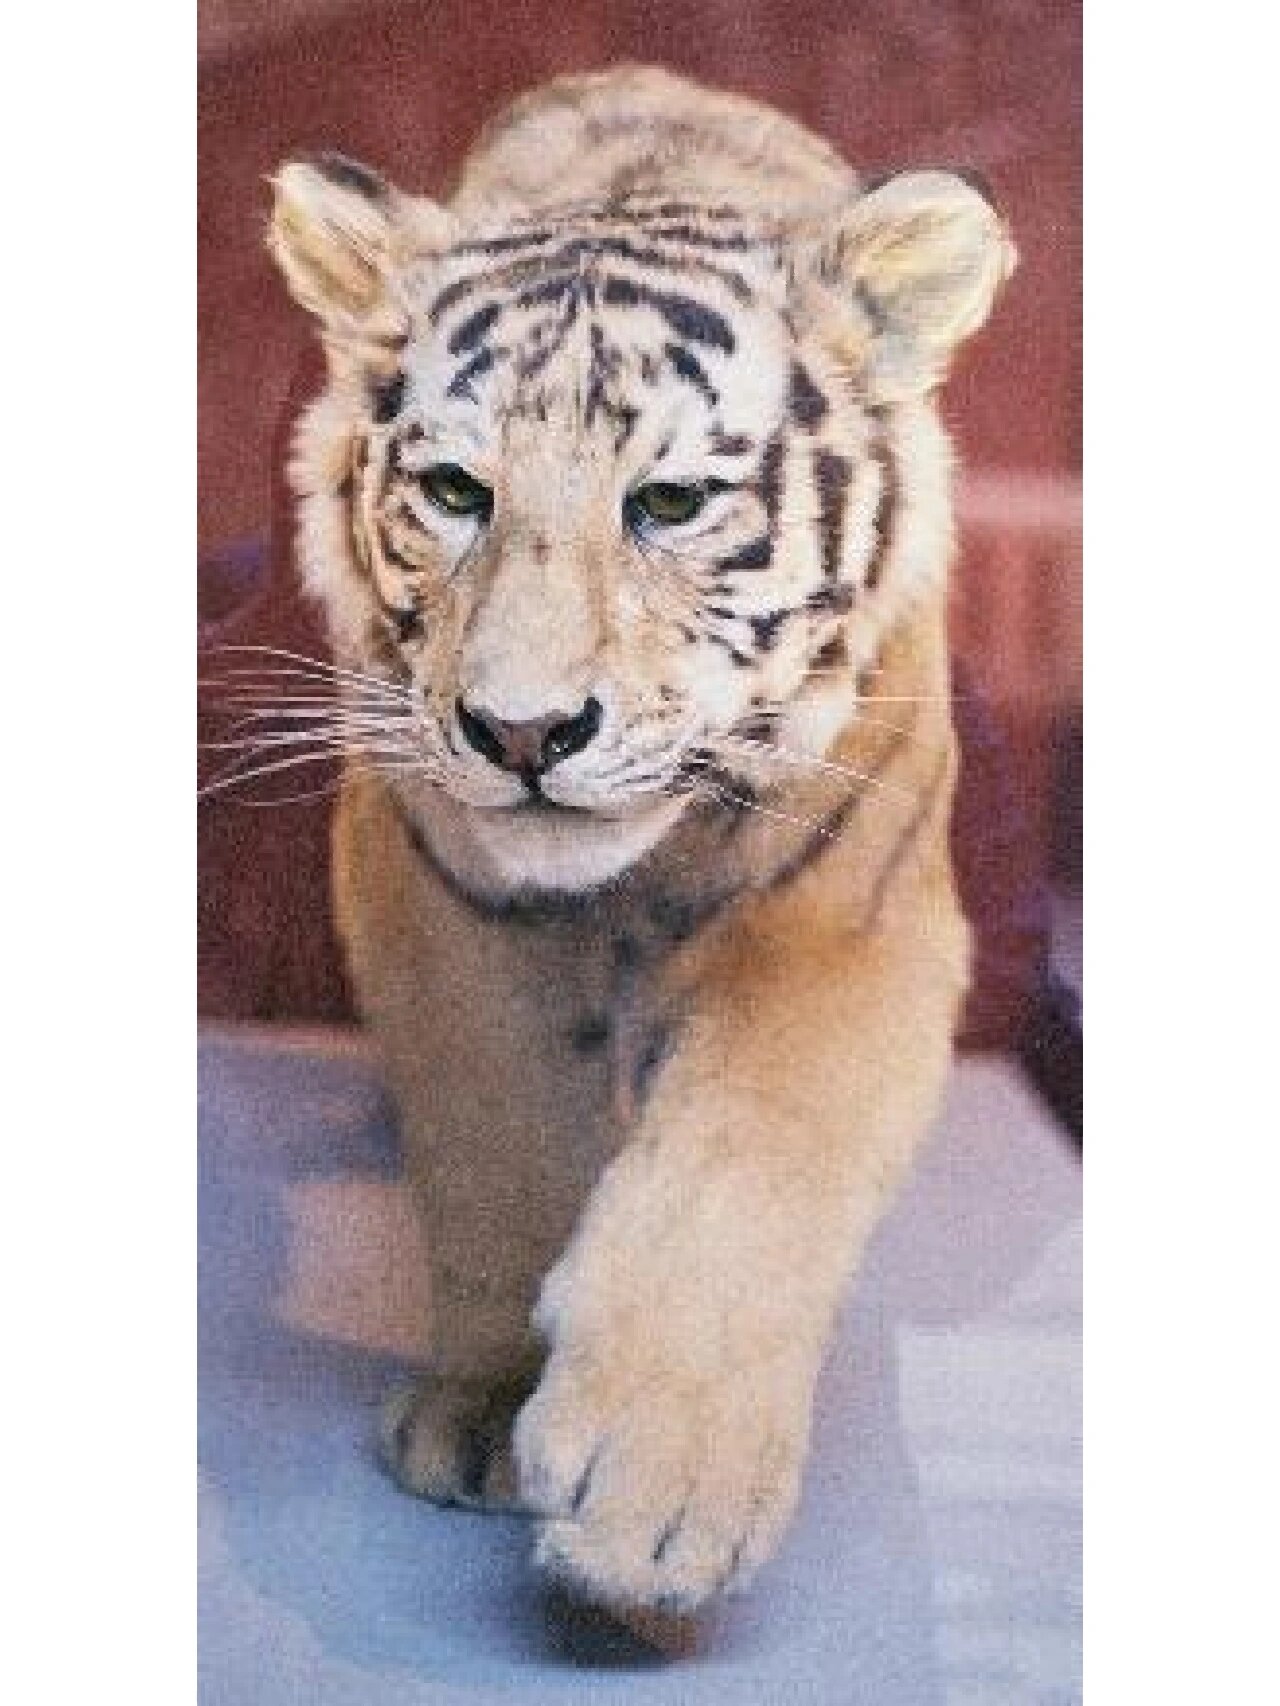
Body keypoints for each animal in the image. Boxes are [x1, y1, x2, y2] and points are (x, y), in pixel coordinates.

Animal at [265, 63, 1015, 1619]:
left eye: (668, 504)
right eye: (456, 493)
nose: (520, 731)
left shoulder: (851, 918)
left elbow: (746, 1162)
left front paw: (655, 1492)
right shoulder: (435, 898)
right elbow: (498, 1144)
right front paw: (491, 1408)